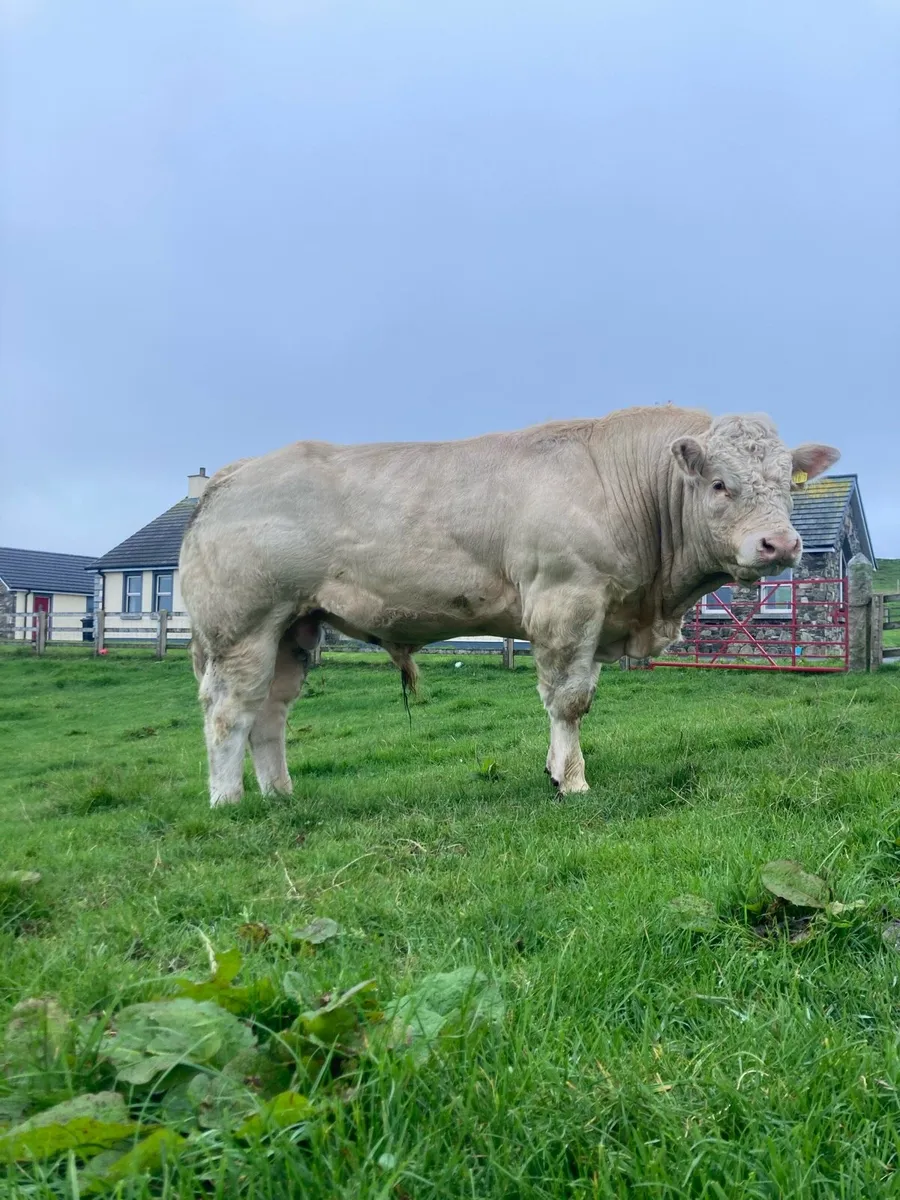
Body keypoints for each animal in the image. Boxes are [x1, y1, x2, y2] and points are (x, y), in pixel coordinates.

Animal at [179, 406, 839, 807]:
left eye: (787, 483)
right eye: (720, 484)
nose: (780, 544)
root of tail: (230, 478)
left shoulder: (596, 615)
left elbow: (577, 696)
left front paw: (553, 768)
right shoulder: (565, 599)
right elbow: (568, 699)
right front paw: (572, 781)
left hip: (293, 629)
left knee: (270, 712)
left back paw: (281, 793)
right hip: (242, 628)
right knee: (229, 711)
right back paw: (228, 801)